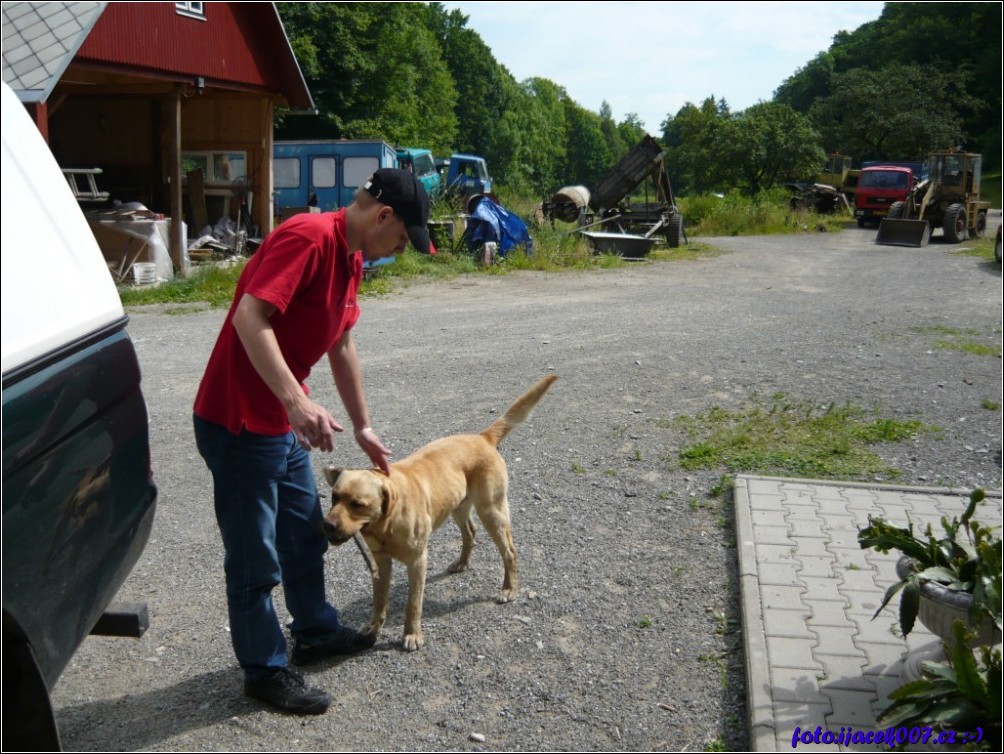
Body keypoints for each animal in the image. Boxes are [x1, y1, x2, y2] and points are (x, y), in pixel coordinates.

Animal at [321, 375, 558, 650]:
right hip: (457, 506)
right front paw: (372, 628)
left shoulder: (417, 561)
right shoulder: (380, 563)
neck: (385, 524)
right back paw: (462, 562)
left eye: (358, 504)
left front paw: (412, 634)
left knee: (509, 551)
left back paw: (509, 589)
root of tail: (482, 437)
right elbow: (379, 601)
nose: (327, 525)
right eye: (335, 497)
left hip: (492, 511)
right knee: (470, 532)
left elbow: (413, 603)